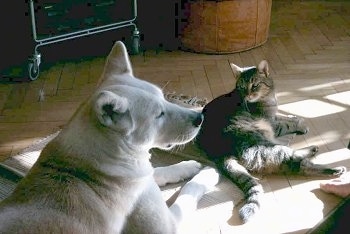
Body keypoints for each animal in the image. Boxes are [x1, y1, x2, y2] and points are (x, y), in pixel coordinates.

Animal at [0, 41, 219, 233]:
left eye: (164, 98)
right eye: (159, 114)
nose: (200, 118)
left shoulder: (143, 178)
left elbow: (159, 171)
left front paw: (187, 166)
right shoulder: (165, 226)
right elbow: (187, 193)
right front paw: (207, 176)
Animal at [198, 60, 346, 223]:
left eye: (255, 85)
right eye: (242, 87)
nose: (248, 95)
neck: (268, 97)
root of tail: (218, 151)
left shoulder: (274, 117)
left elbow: (284, 116)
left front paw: (293, 117)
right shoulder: (272, 123)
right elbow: (287, 124)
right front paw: (300, 124)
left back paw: (313, 151)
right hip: (266, 144)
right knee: (298, 164)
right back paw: (332, 169)